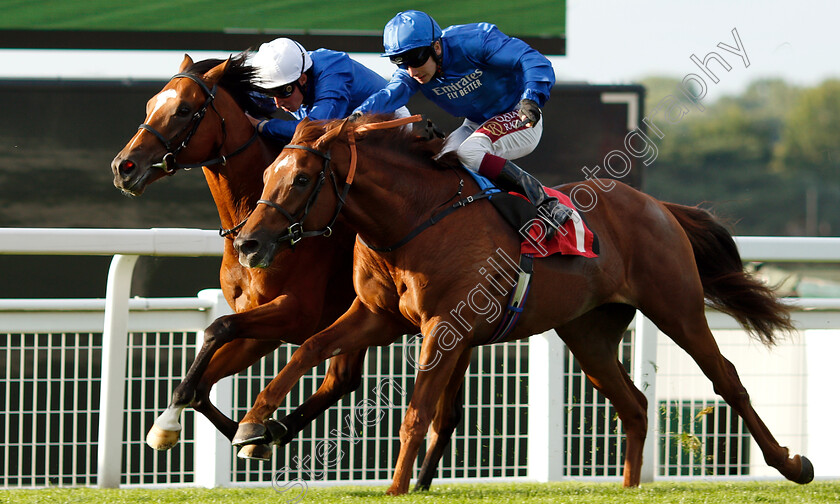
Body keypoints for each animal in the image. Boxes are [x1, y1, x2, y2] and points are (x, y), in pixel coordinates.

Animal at [230, 115, 812, 496]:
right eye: (265, 176)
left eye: (301, 178)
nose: (249, 244)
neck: (414, 219)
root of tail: (658, 205)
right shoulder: (378, 317)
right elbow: (309, 348)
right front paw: (253, 427)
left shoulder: (444, 327)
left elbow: (418, 412)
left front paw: (396, 488)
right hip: (589, 335)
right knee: (634, 404)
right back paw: (628, 485)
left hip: (678, 308)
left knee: (726, 379)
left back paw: (791, 464)